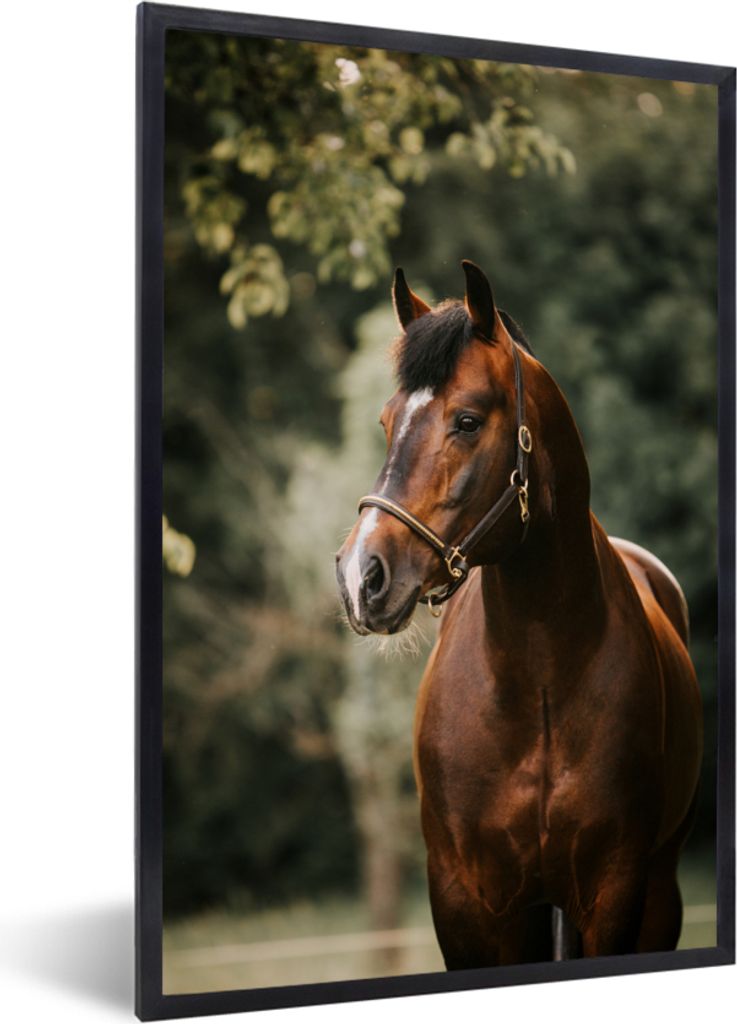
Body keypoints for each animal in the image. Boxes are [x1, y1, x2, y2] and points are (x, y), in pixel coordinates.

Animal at [335, 260, 703, 966]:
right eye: (387, 422)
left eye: (467, 421)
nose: (361, 575)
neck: (539, 682)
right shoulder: (465, 903)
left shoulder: (615, 894)